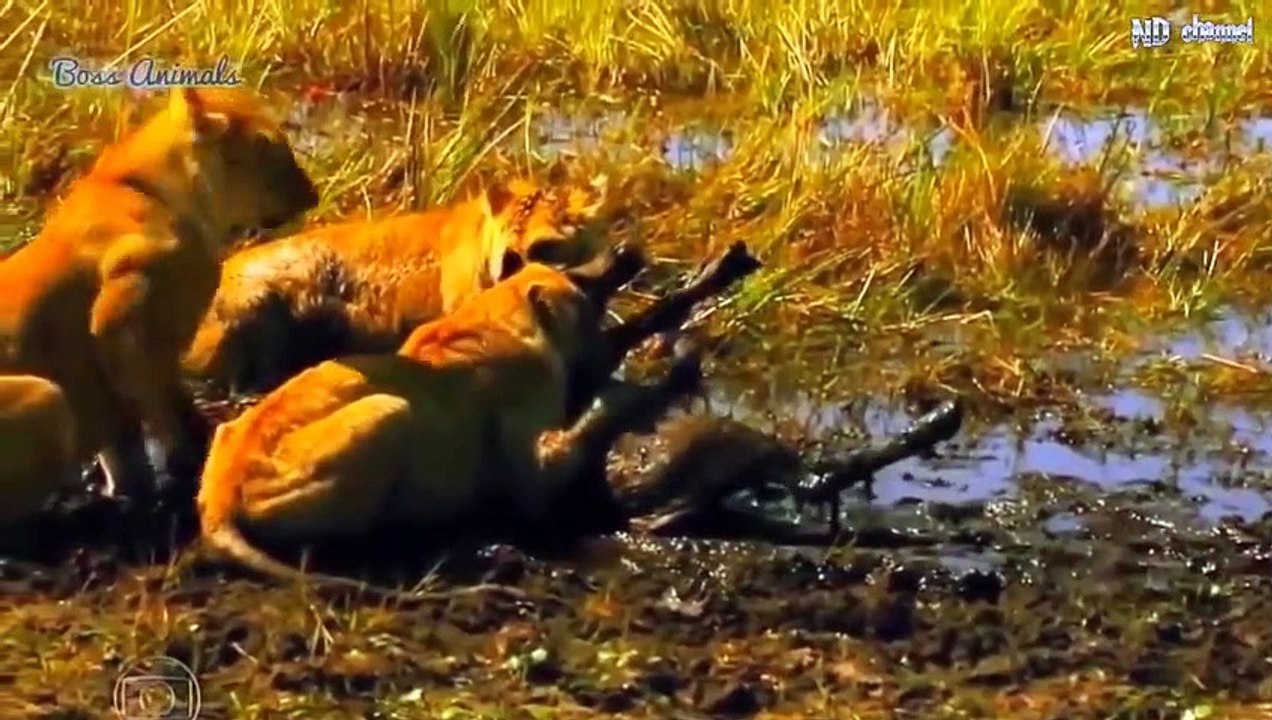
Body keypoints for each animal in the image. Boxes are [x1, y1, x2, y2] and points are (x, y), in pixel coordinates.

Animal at [0, 87, 319, 522]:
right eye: (266, 148)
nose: (314, 196)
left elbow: (124, 445)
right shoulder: (127, 299)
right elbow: (161, 406)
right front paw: (183, 469)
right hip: (50, 400)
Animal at [194, 243, 721, 600]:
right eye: (582, 293)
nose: (625, 253)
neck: (504, 314)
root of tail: (219, 499)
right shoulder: (535, 472)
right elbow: (596, 417)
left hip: (232, 431)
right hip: (387, 415)